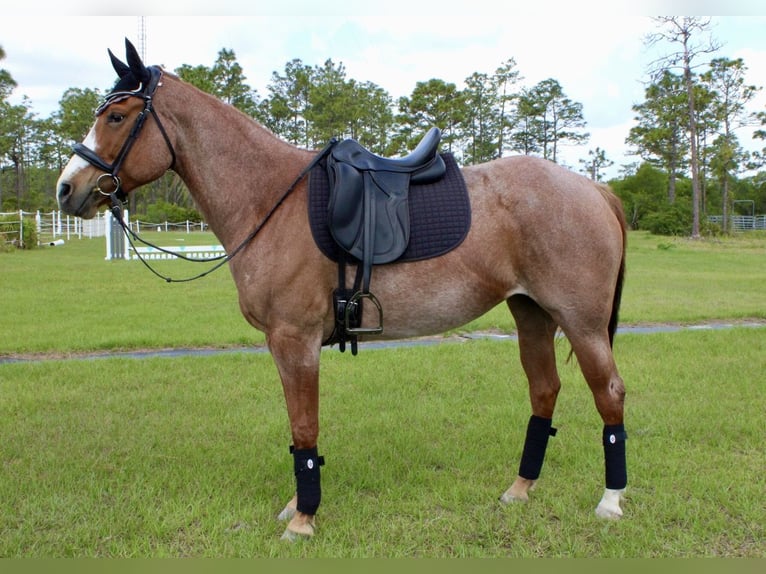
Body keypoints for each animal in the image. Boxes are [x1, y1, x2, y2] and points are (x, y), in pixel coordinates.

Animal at [56, 39, 629, 541]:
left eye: (116, 116)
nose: (67, 189)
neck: (269, 196)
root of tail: (593, 187)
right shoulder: (286, 344)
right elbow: (297, 429)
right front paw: (296, 505)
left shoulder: (296, 341)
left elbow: (305, 429)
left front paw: (302, 520)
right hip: (532, 314)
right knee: (544, 391)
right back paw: (520, 489)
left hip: (581, 323)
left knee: (610, 395)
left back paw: (610, 501)